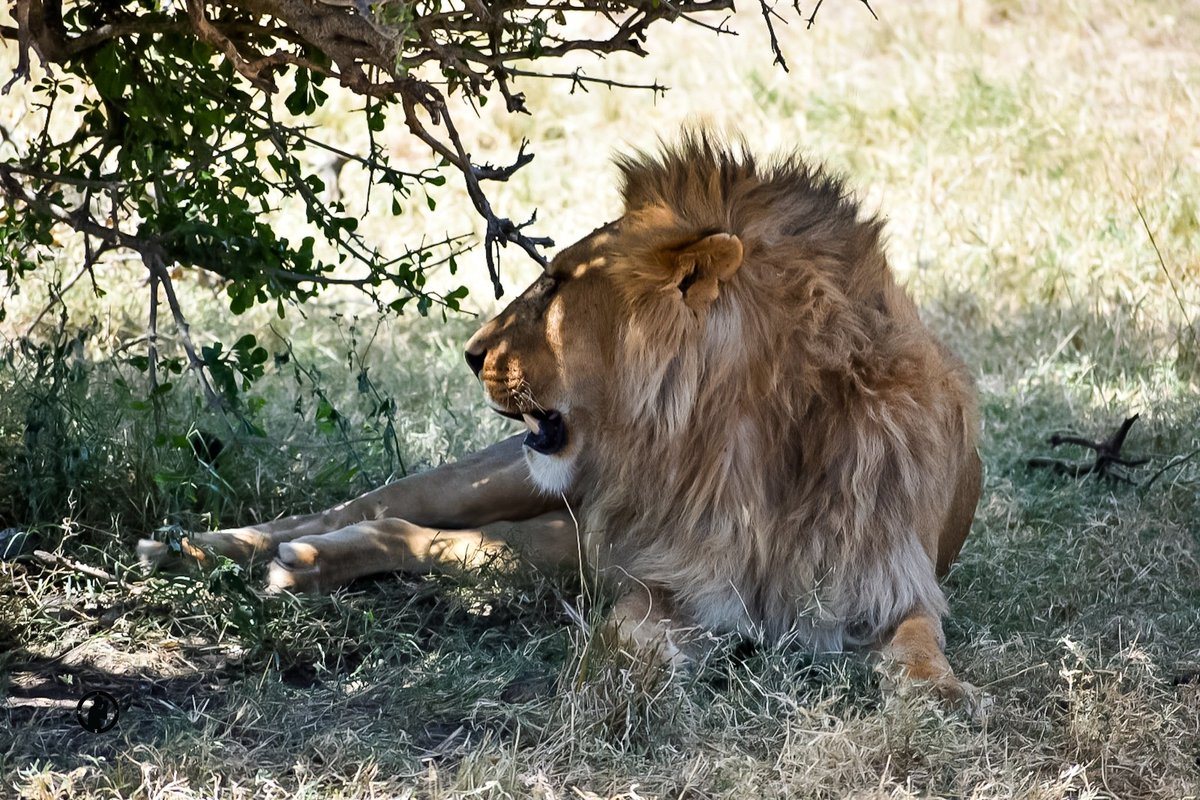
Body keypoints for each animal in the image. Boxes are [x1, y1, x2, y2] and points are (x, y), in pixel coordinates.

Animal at [142, 131, 984, 700]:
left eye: (553, 284)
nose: (471, 352)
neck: (742, 443)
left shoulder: (893, 584)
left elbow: (921, 643)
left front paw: (940, 693)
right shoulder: (665, 579)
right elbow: (627, 633)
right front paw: (614, 679)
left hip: (574, 535)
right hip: (525, 499)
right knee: (382, 512)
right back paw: (217, 550)